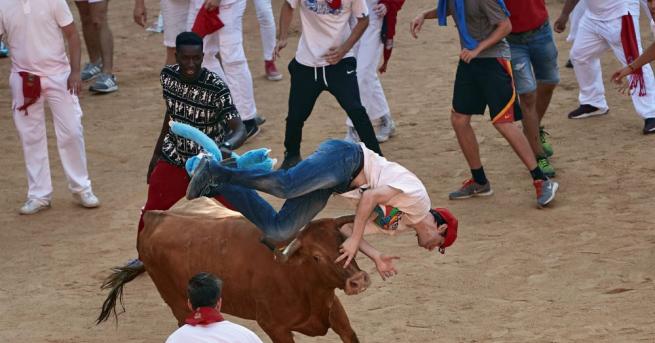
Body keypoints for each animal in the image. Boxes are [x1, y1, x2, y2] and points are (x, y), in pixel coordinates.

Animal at [95, 199, 372, 343]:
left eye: (343, 242)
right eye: (316, 257)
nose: (358, 280)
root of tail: (154, 217)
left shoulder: (334, 309)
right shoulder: (275, 327)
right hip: (177, 303)